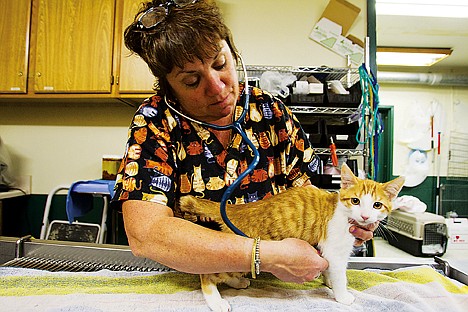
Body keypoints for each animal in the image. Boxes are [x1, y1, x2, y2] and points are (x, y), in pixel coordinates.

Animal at [177, 163, 404, 312]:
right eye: (355, 201)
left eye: (377, 205)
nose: (365, 216)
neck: (342, 212)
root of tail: (240, 208)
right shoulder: (334, 250)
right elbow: (340, 275)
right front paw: (342, 295)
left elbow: (330, 270)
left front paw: (329, 281)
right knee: (207, 275)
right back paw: (215, 301)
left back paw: (237, 282)